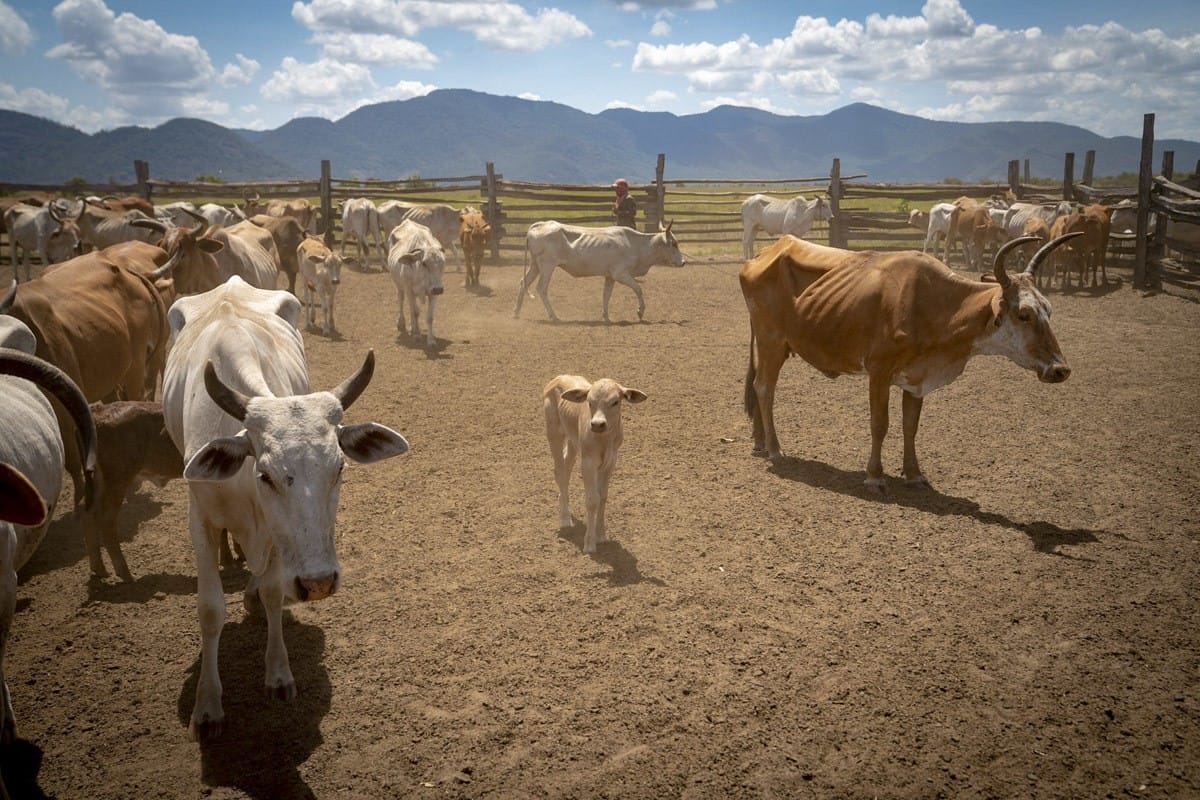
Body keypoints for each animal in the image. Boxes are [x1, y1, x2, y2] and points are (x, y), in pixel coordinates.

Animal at [162, 278, 410, 743]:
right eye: (266, 474)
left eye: (339, 468)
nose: (319, 583)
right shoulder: (199, 519)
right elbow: (210, 609)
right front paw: (208, 705)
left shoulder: (278, 535)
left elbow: (275, 591)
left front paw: (278, 674)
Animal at [384, 219, 446, 347]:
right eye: (424, 263)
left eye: (443, 263)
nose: (438, 289)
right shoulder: (409, 290)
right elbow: (415, 312)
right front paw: (417, 335)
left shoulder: (432, 293)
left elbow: (429, 317)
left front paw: (431, 340)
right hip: (399, 286)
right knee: (402, 301)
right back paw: (402, 323)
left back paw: (412, 327)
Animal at [542, 376, 648, 556]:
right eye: (590, 402)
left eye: (615, 402)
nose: (597, 424)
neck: (604, 440)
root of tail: (558, 378)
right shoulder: (588, 462)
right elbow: (592, 499)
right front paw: (590, 543)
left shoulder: (610, 461)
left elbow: (603, 496)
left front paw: (601, 535)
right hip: (553, 431)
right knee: (559, 471)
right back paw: (565, 518)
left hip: (573, 440)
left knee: (566, 465)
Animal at [739, 231, 1080, 491]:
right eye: (1023, 314)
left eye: (1048, 310)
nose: (1060, 369)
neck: (933, 304)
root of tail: (765, 253)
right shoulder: (878, 372)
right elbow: (880, 424)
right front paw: (874, 476)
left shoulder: (916, 379)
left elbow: (910, 427)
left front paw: (914, 474)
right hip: (771, 342)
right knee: (765, 388)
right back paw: (775, 448)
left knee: (758, 387)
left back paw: (759, 442)